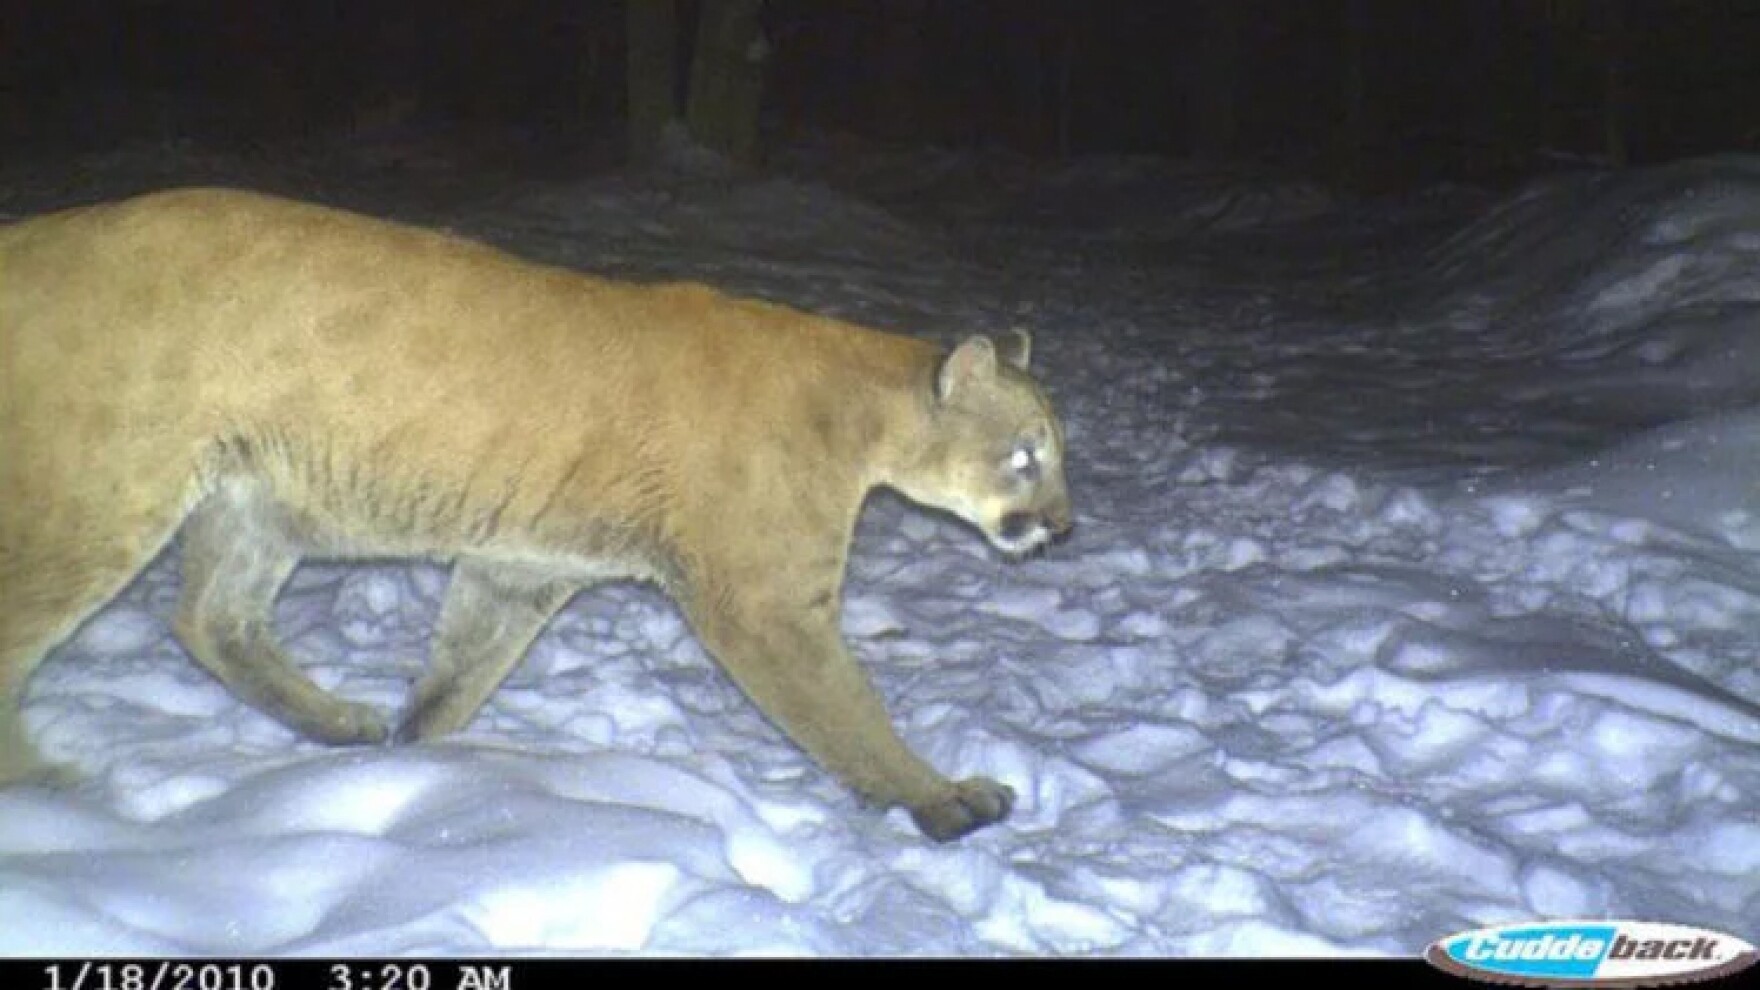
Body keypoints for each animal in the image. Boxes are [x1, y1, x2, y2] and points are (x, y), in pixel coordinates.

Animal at [0, 188, 1072, 841]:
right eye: (1027, 454)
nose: (1065, 527)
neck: (863, 410)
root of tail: (35, 230)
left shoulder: (522, 566)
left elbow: (459, 677)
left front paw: (412, 767)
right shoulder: (770, 605)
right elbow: (847, 715)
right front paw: (943, 799)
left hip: (261, 501)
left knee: (207, 619)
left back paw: (339, 725)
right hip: (104, 491)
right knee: (33, 630)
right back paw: (52, 788)